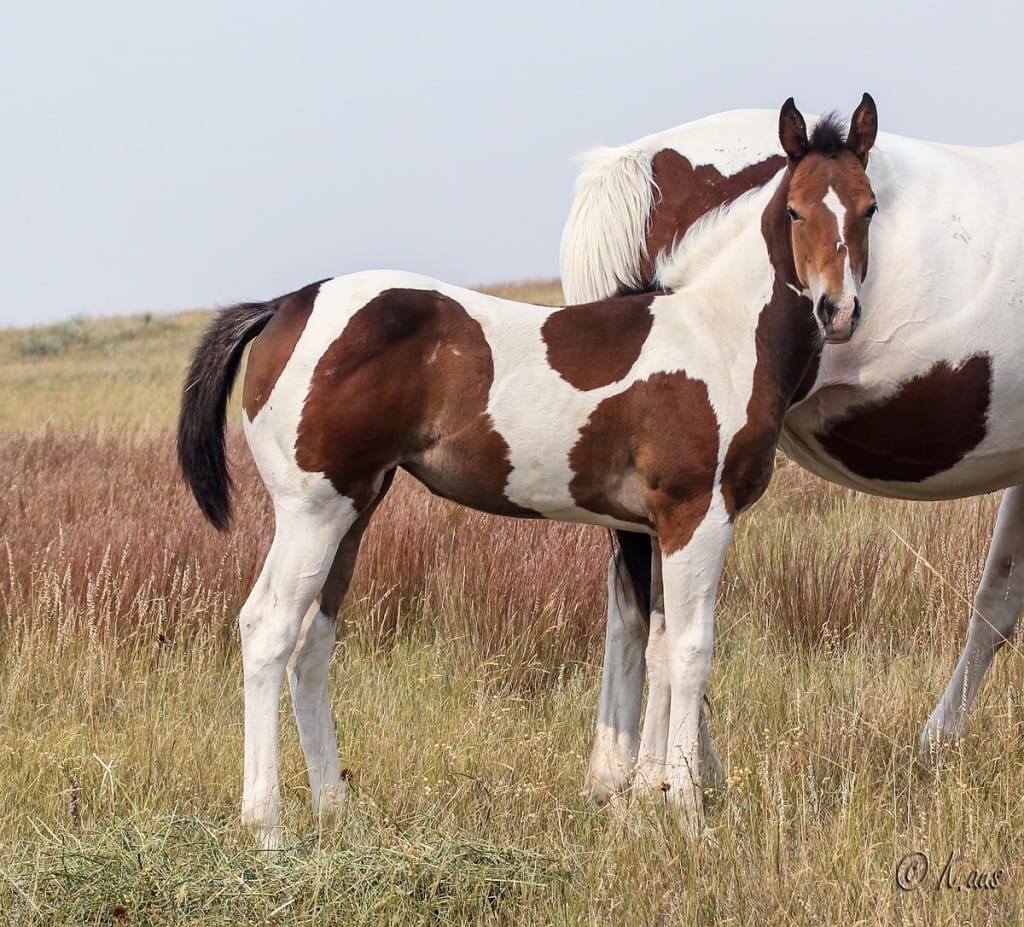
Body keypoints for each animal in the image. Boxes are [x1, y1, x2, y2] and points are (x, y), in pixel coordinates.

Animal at [178, 95, 880, 848]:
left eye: (868, 207)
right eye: (796, 212)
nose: (838, 311)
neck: (716, 334)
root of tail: (284, 306)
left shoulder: (655, 527)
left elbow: (659, 652)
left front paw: (650, 799)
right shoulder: (698, 514)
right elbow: (692, 653)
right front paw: (691, 818)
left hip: (355, 510)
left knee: (312, 645)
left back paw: (335, 811)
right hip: (312, 512)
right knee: (268, 631)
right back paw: (266, 824)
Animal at [565, 95, 1024, 794]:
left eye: (871, 210)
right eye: (795, 213)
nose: (838, 310)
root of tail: (634, 166)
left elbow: (997, 599)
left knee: (636, 613)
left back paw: (624, 776)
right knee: (664, 619)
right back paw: (672, 776)